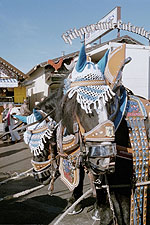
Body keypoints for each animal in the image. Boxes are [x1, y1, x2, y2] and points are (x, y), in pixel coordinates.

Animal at [14, 43, 150, 224]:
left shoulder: (121, 182)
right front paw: (80, 203)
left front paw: (97, 210)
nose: (39, 176)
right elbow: (86, 181)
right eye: (30, 145)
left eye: (44, 143)